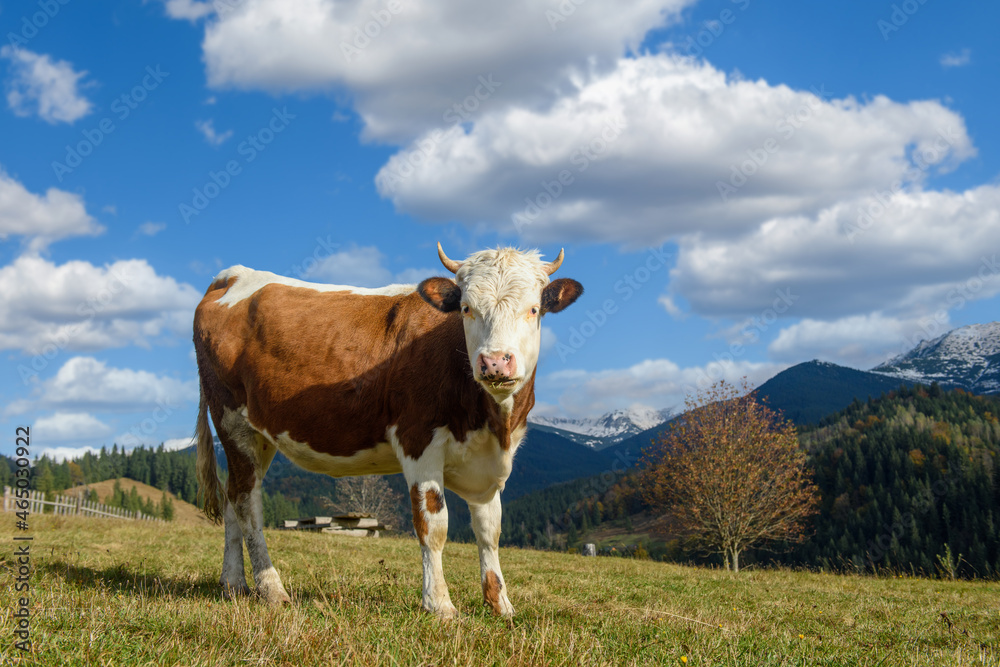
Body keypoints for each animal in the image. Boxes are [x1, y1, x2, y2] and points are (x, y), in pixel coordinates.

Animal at [192, 243, 584, 620]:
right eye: (467, 308)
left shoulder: (488, 463)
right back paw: (271, 589)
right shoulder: (418, 440)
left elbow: (490, 531)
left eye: (534, 309)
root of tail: (233, 276)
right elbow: (434, 526)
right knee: (247, 504)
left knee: (232, 497)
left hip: (259, 435)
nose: (495, 362)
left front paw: (500, 604)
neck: (493, 423)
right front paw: (439, 605)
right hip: (231, 420)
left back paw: (234, 584)